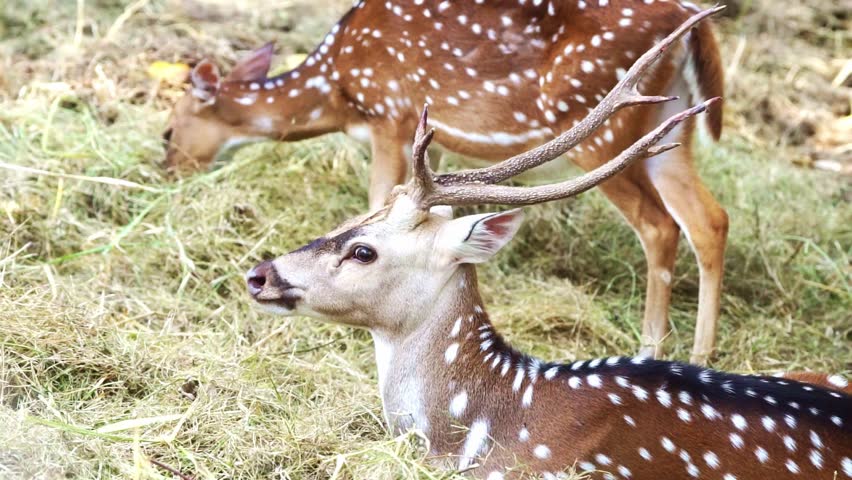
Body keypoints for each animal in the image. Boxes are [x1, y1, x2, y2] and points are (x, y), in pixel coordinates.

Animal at [163, 0, 729, 364]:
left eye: (168, 129)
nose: (168, 173)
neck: (337, 91)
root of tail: (690, 24)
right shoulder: (423, 141)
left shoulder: (391, 113)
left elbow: (379, 194)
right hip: (670, 127)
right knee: (709, 219)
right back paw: (701, 355)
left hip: (603, 132)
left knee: (660, 225)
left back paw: (651, 348)